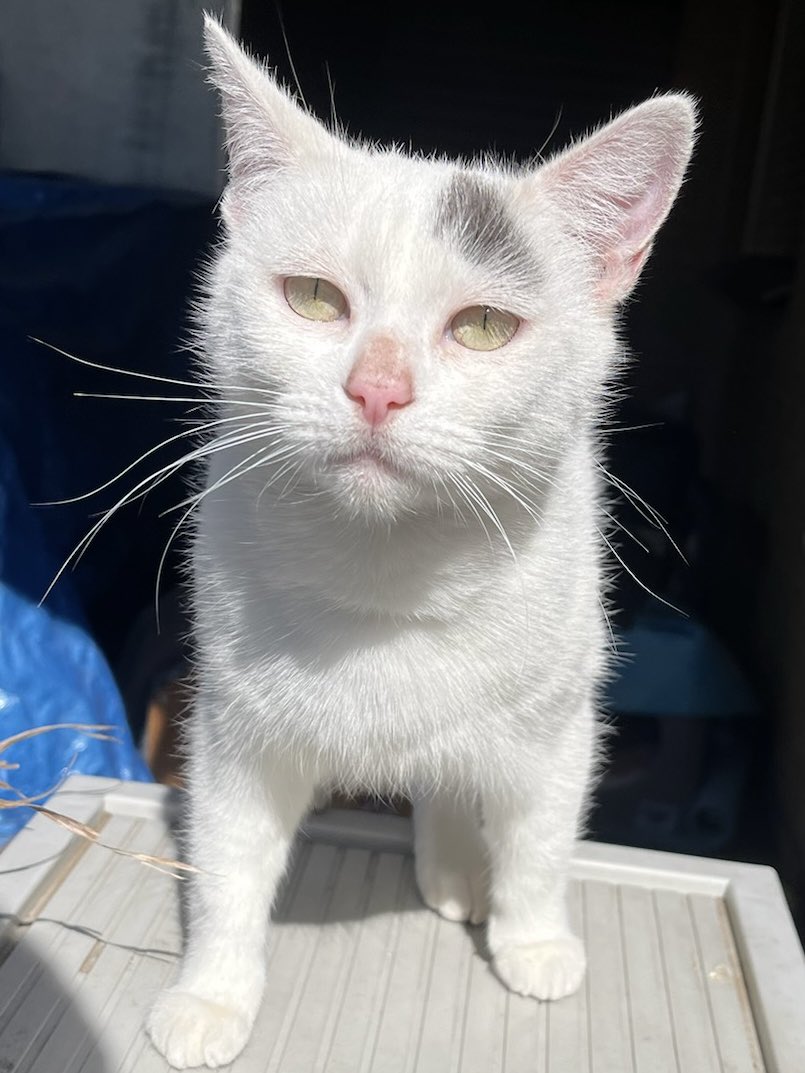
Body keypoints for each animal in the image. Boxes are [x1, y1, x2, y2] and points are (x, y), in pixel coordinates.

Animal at [147, 12, 699, 1068]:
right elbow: (230, 861)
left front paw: (534, 941)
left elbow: (539, 838)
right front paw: (211, 993)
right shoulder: (233, 728)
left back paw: (456, 872)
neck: (391, 572)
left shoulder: (558, 719)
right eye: (314, 299)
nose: (377, 388)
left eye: (482, 325)